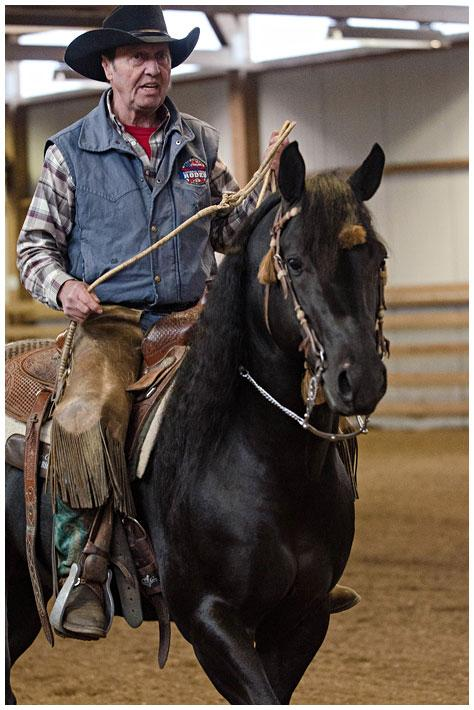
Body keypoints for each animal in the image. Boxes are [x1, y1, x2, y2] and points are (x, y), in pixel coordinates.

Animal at [4, 143, 388, 708]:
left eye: (377, 258)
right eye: (294, 261)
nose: (358, 377)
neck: (269, 466)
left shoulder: (304, 617)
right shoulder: (209, 620)